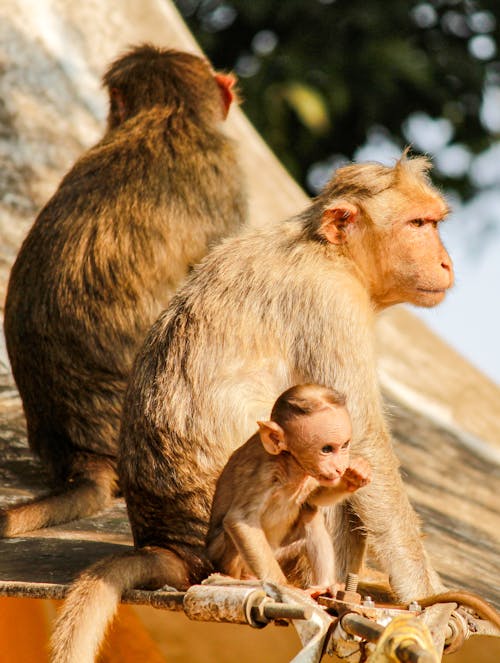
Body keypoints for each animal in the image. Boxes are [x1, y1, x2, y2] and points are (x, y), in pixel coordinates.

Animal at [206, 384, 372, 592]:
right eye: (326, 449)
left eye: (344, 445)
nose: (339, 467)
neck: (292, 465)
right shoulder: (262, 472)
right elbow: (240, 520)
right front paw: (284, 586)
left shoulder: (310, 475)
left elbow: (313, 498)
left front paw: (355, 476)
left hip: (282, 554)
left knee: (309, 513)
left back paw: (325, 586)